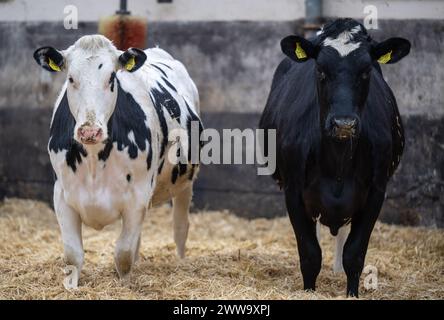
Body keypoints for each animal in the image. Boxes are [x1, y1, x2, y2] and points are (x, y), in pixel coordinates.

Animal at [34, 33, 203, 282]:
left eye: (112, 77)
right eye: (71, 78)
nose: (90, 131)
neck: (94, 161)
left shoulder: (137, 197)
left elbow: (122, 254)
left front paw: (124, 284)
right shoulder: (62, 195)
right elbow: (73, 255)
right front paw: (72, 284)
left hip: (185, 182)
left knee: (180, 227)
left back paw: (181, 261)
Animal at [260, 18, 410, 298]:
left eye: (366, 71)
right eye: (320, 70)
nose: (344, 123)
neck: (338, 162)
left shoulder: (376, 192)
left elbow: (354, 254)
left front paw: (352, 292)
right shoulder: (293, 191)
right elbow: (310, 253)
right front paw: (309, 291)